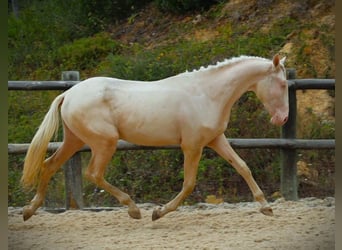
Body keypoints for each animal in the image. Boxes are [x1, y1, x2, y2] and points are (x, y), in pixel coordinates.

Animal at [21, 54, 288, 221]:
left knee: (49, 165)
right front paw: (158, 213)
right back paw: (133, 209)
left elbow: (242, 167)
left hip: (75, 140)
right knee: (93, 174)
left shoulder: (215, 140)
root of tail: (69, 93)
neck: (207, 93)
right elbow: (189, 183)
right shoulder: (192, 146)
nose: (282, 119)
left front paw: (266, 208)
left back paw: (29, 210)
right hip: (104, 143)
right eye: (284, 84)